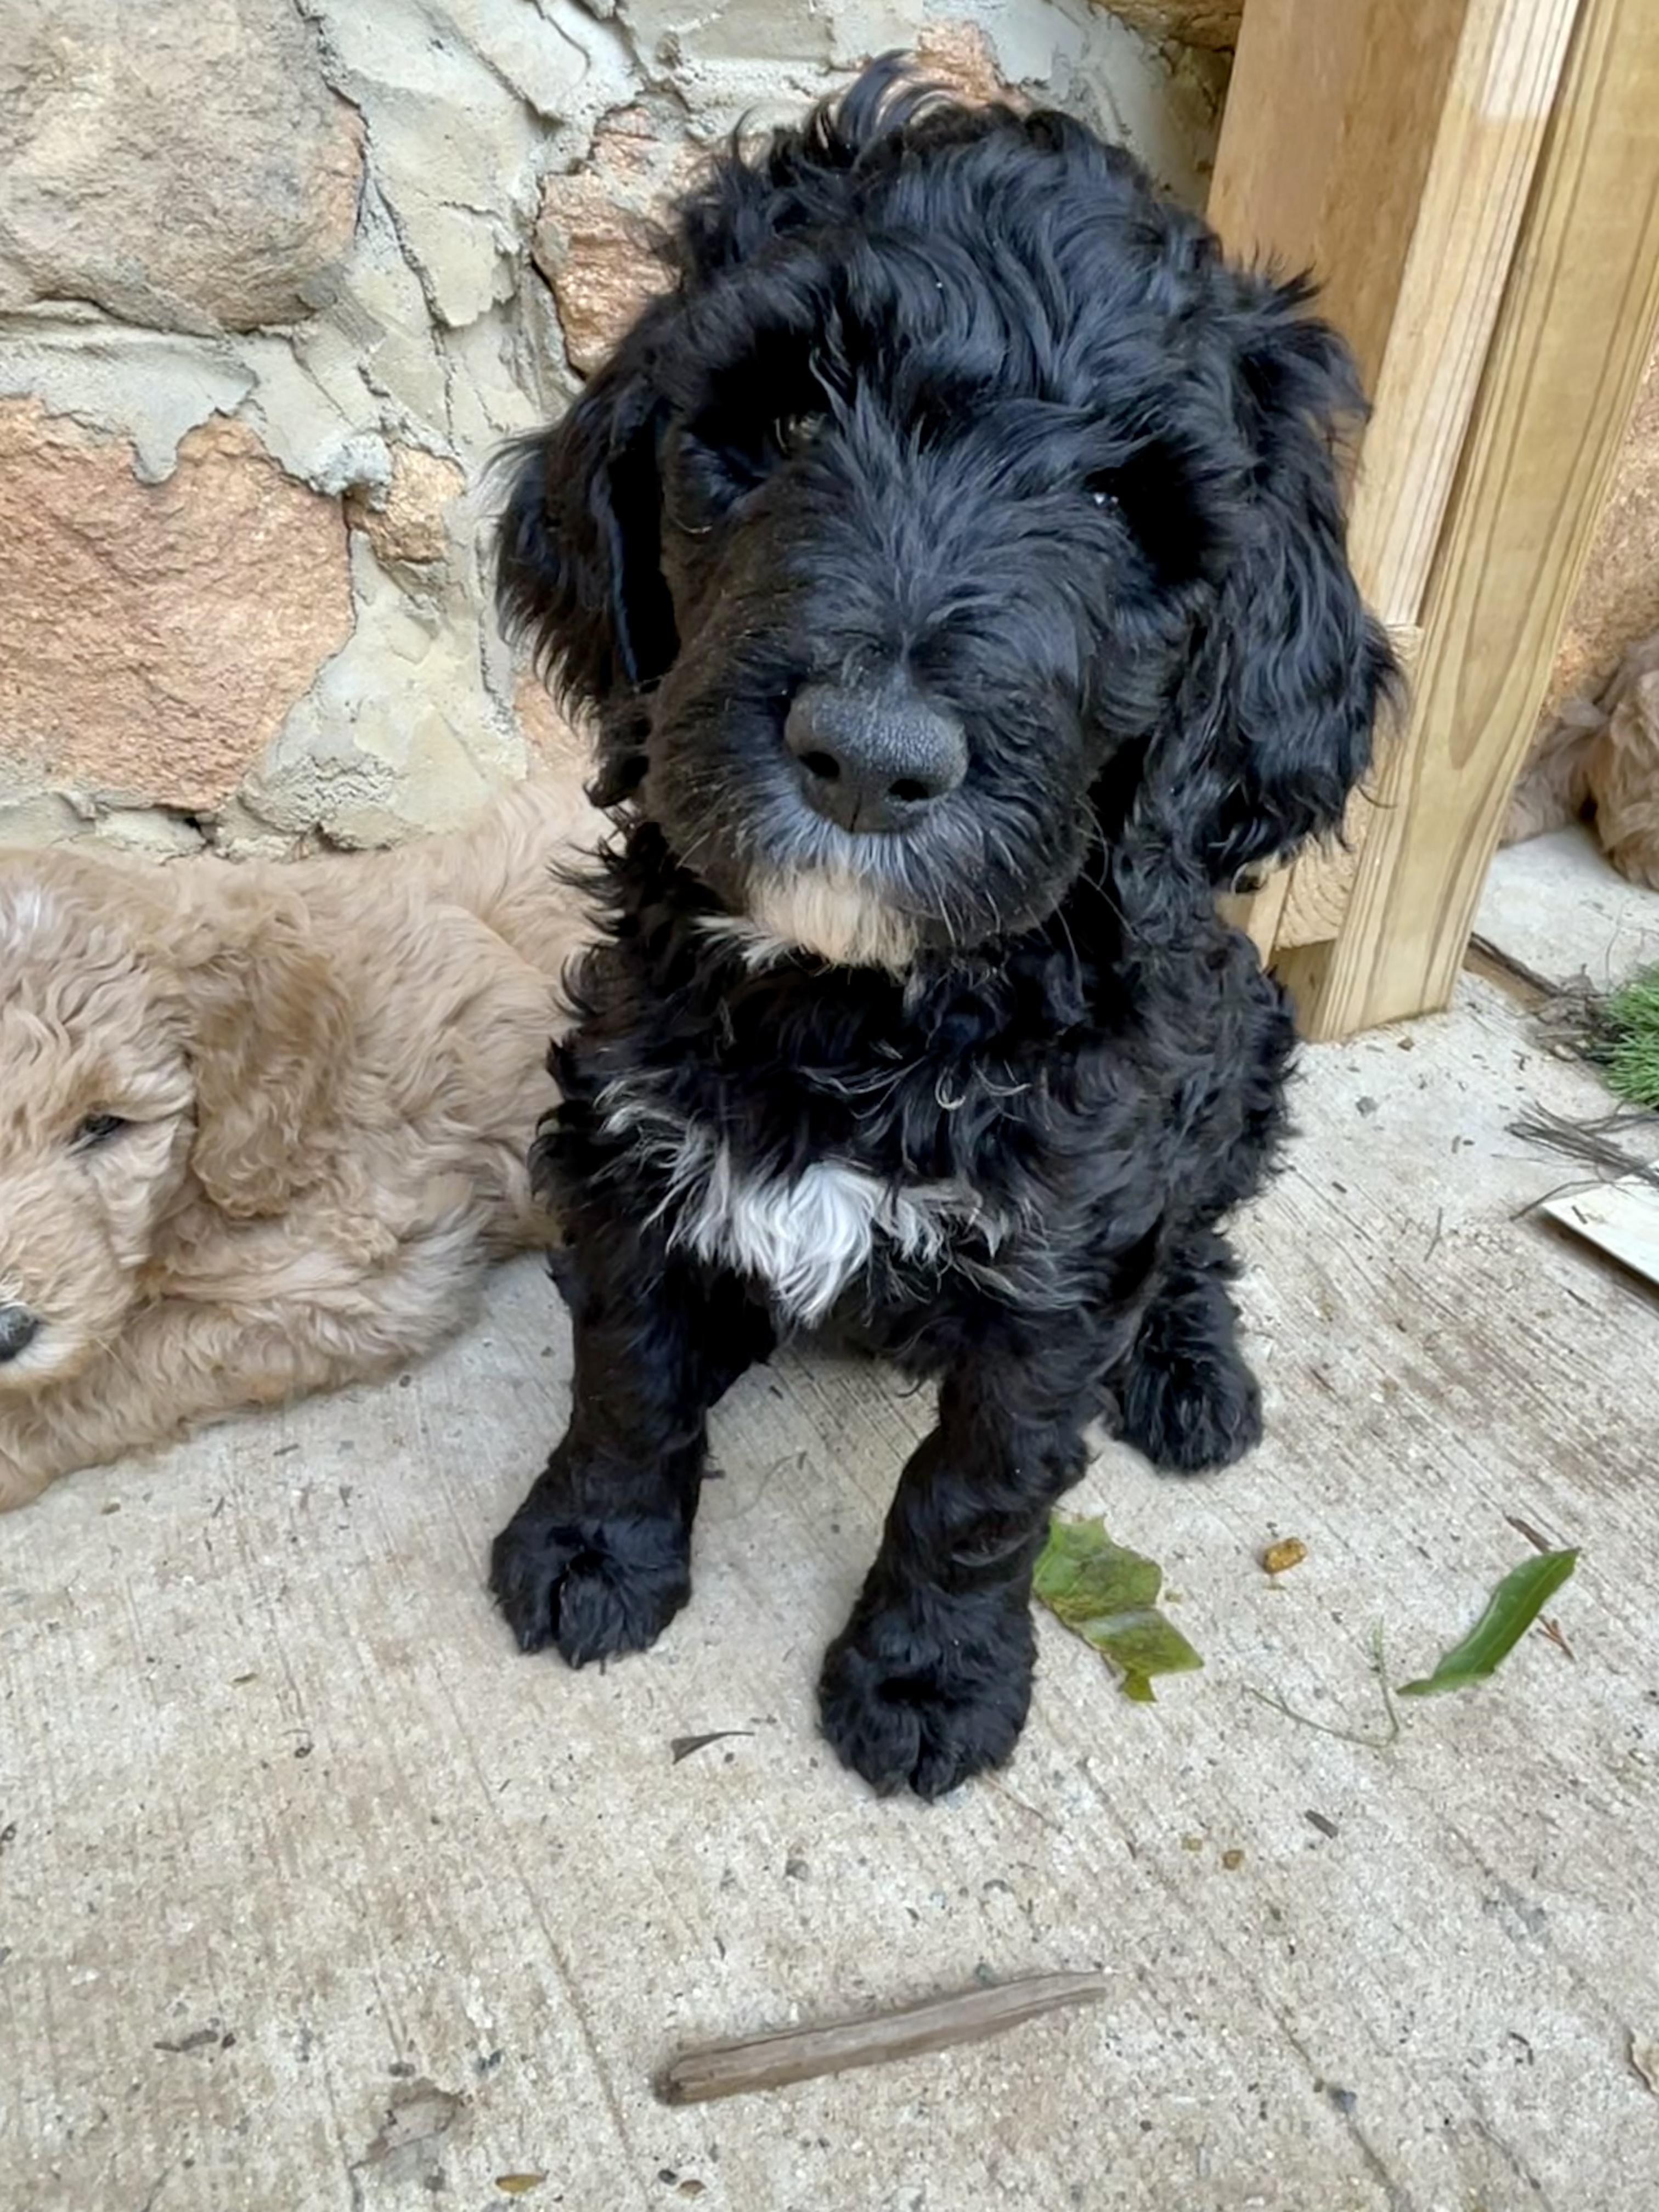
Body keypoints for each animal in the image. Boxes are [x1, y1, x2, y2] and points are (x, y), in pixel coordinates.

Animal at [488, 61, 1395, 1796]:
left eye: (1115, 502)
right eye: (783, 426)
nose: (869, 755)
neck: (866, 1005)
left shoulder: (1062, 1254)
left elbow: (978, 1491)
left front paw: (929, 1680)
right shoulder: (628, 1126)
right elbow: (624, 1369)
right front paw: (591, 1549)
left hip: (1247, 1048)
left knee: (1204, 1235)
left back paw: (1193, 1375)